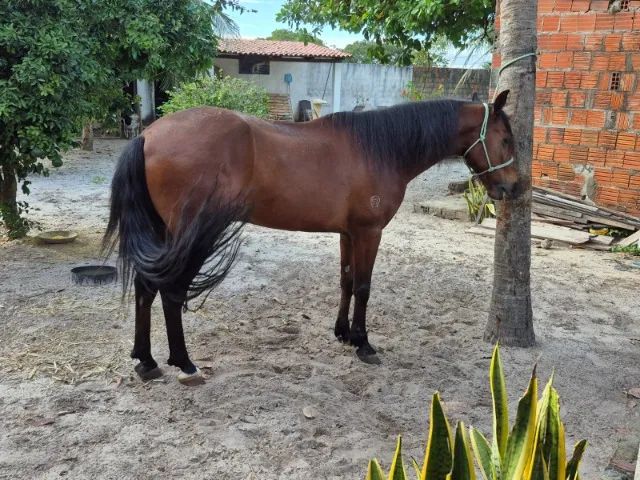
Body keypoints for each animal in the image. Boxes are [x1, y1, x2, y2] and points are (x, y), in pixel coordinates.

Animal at [103, 90, 519, 385]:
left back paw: (146, 361)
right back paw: (185, 364)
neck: (379, 149)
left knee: (146, 287)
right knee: (172, 291)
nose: (514, 188)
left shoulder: (348, 233)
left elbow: (346, 281)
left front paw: (343, 333)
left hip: (163, 233)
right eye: (506, 140)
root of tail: (149, 135)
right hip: (191, 235)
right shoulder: (369, 232)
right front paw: (363, 343)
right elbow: (364, 286)